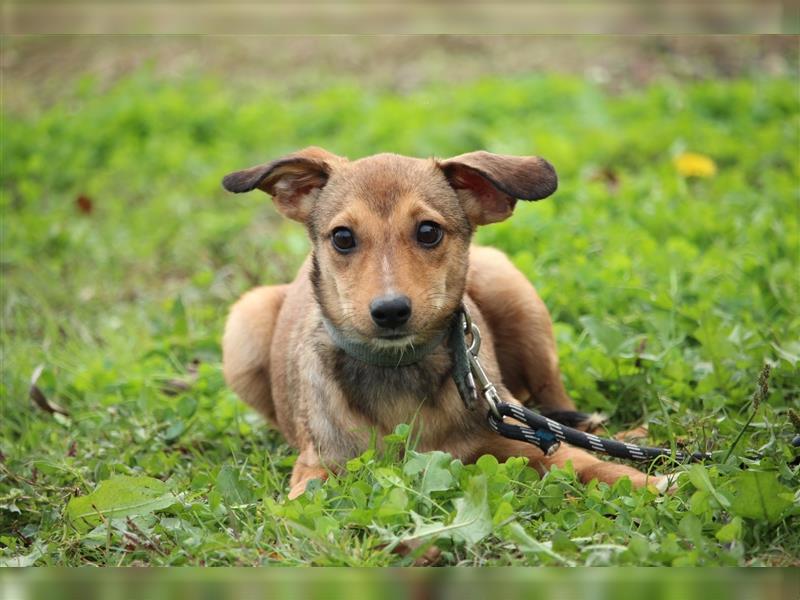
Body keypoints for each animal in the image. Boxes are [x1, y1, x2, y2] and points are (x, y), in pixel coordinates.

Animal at [220, 148, 668, 500]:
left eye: (428, 231)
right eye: (343, 237)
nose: (390, 311)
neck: (398, 368)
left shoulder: (515, 438)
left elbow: (591, 462)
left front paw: (657, 483)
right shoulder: (318, 466)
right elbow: (306, 497)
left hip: (511, 289)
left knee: (555, 401)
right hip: (245, 322)